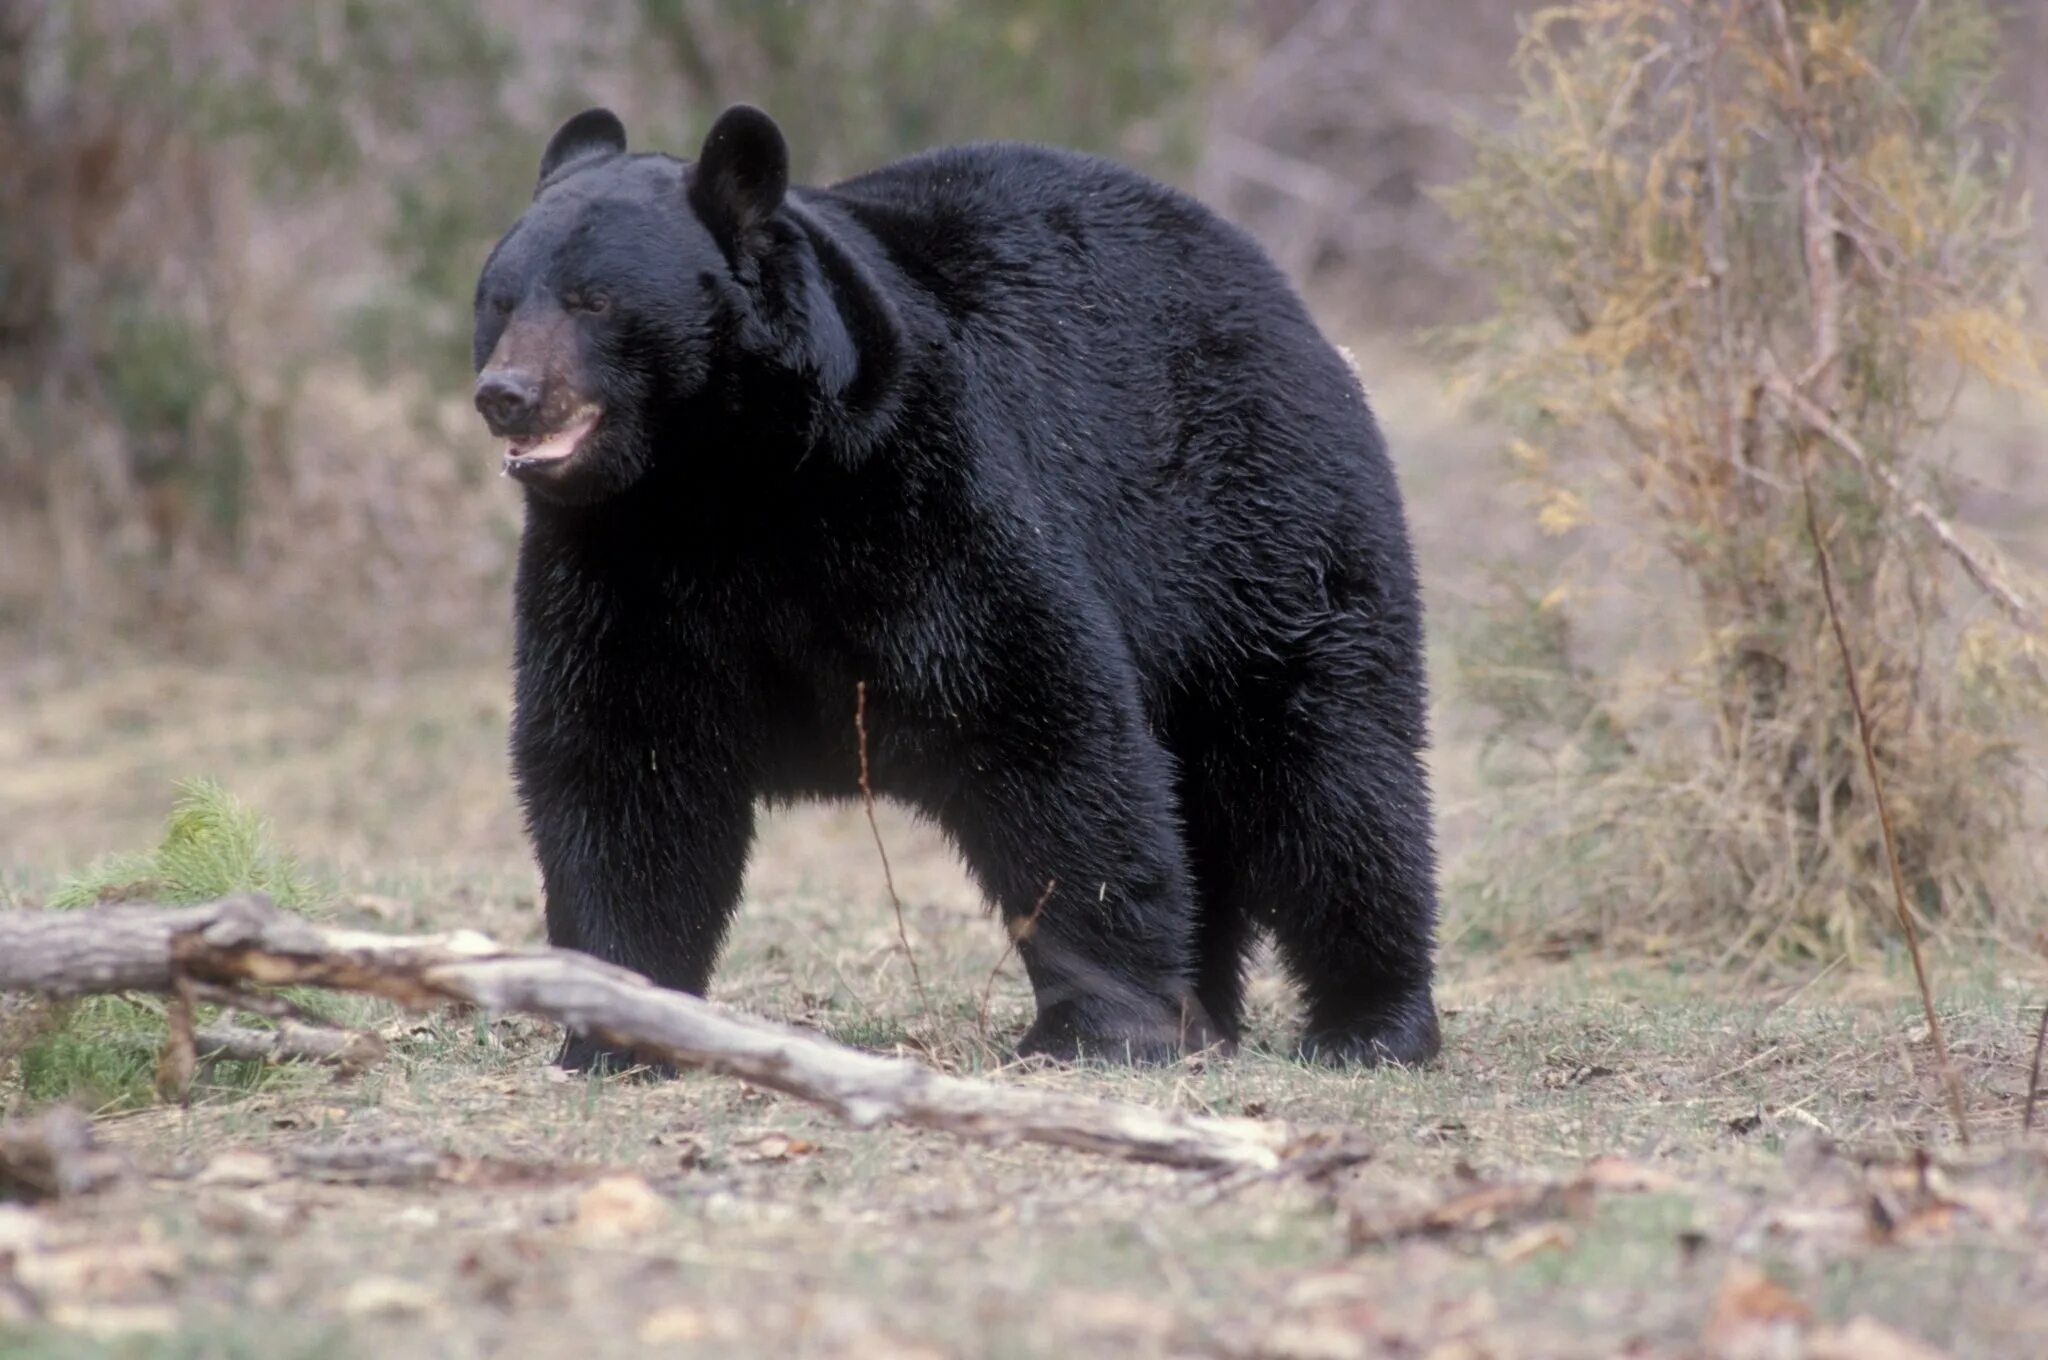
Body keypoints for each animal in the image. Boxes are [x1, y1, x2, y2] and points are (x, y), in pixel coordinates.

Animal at [477, 106, 1441, 1065]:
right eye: (499, 300)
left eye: (594, 299)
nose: (504, 393)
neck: (726, 479)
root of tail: (1277, 288)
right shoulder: (617, 559)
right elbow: (625, 761)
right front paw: (618, 1021)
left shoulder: (922, 488)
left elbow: (1041, 717)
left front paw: (1102, 1024)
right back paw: (1211, 1009)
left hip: (1257, 527)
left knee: (1328, 776)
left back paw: (1373, 1019)